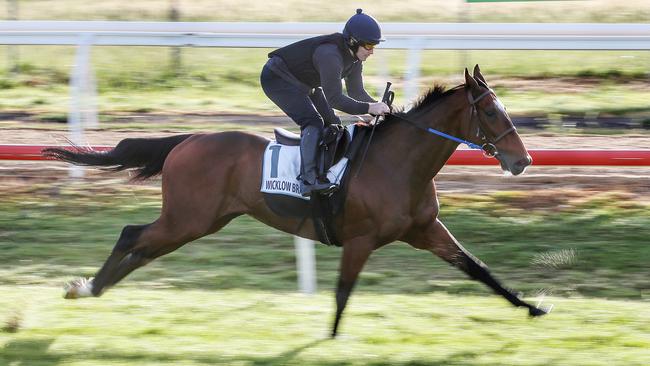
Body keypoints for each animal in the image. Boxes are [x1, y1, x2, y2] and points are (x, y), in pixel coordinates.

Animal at [41, 65, 548, 338]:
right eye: (490, 111)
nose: (522, 160)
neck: (398, 163)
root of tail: (188, 139)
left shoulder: (424, 230)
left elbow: (478, 268)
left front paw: (532, 307)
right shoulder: (361, 239)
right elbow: (343, 291)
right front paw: (331, 338)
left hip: (199, 221)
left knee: (143, 247)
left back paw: (92, 287)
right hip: (188, 218)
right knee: (133, 235)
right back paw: (87, 286)